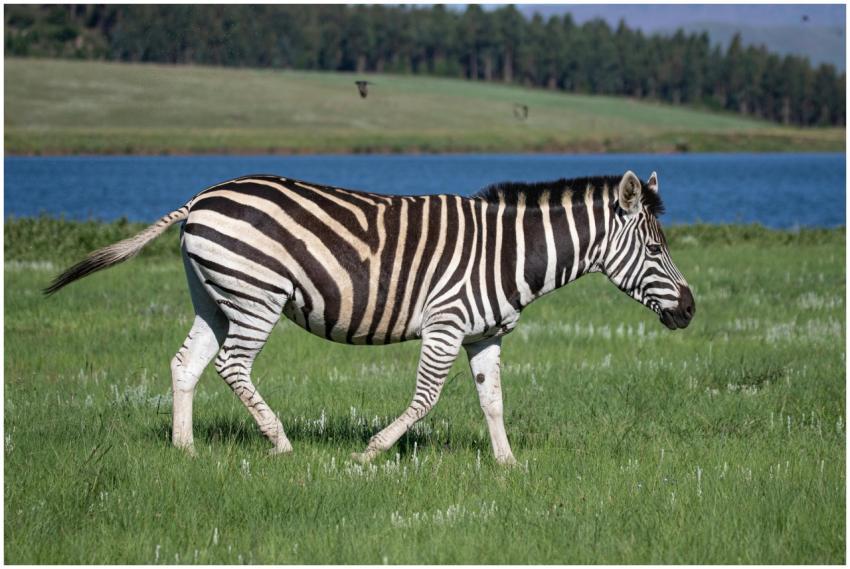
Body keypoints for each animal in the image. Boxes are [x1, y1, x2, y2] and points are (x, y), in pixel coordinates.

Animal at [46, 170, 695, 465]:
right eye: (656, 249)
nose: (690, 310)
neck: (507, 255)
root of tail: (203, 196)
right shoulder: (446, 323)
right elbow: (425, 400)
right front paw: (369, 453)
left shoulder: (484, 336)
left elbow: (493, 401)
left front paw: (508, 465)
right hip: (257, 296)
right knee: (232, 366)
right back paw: (281, 444)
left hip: (215, 296)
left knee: (186, 364)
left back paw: (185, 451)